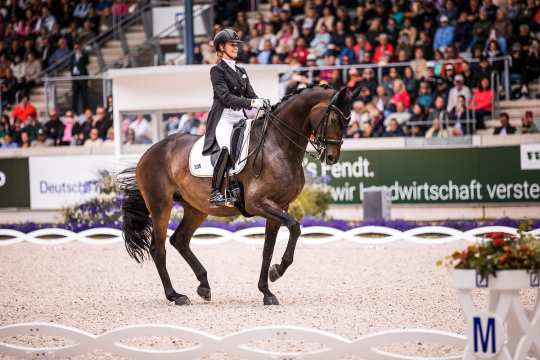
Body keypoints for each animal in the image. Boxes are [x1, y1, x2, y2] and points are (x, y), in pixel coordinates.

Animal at [119, 85, 354, 306]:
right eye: (334, 118)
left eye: (348, 121)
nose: (331, 157)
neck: (278, 145)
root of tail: (148, 153)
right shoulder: (258, 203)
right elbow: (295, 227)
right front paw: (277, 271)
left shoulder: (280, 206)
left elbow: (268, 248)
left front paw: (267, 291)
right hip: (161, 205)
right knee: (158, 248)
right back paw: (175, 296)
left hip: (196, 208)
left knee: (180, 240)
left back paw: (203, 285)